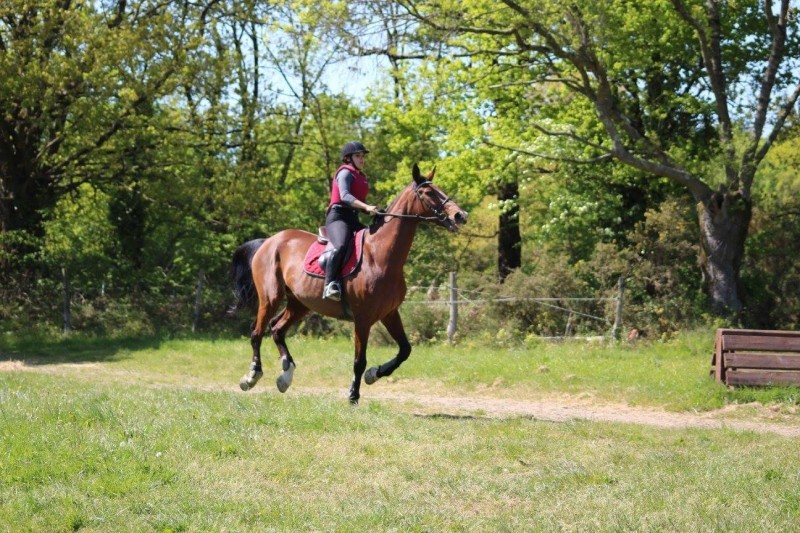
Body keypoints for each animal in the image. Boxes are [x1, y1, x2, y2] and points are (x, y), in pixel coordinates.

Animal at [230, 164, 468, 402]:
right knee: (256, 332)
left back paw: (285, 376)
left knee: (277, 328)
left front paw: (374, 374)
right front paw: (353, 394)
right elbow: (359, 360)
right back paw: (252, 376)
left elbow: (405, 350)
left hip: (300, 303)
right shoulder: (363, 318)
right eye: (428, 192)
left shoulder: (389, 313)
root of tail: (269, 241)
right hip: (270, 297)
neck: (381, 255)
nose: (460, 215)